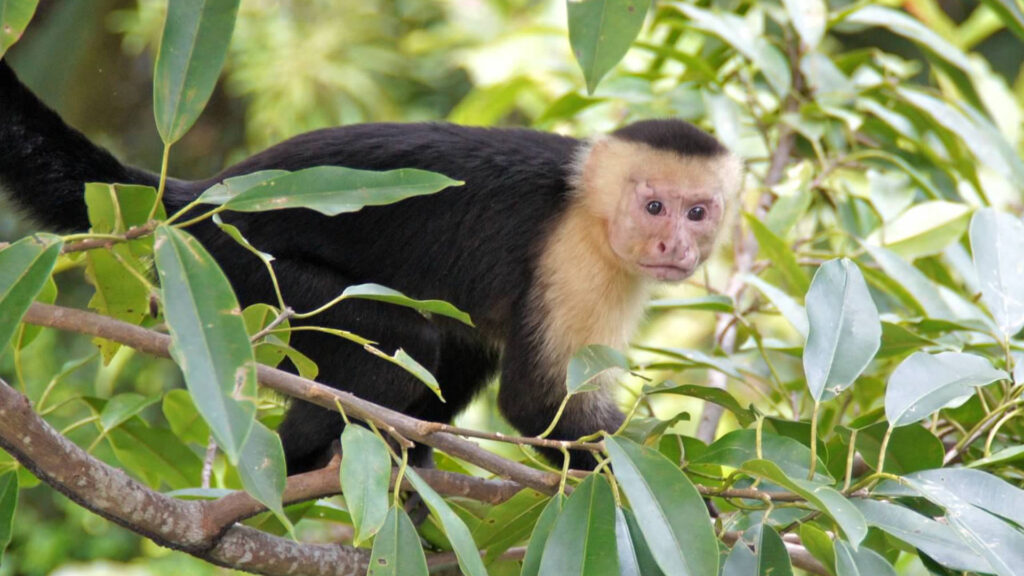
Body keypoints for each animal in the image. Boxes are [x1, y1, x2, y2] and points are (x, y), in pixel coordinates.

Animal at [0, 59, 741, 471]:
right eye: (653, 207)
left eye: (698, 213)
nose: (674, 247)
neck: (587, 206)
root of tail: (200, 196)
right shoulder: (578, 258)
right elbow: (538, 403)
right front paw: (695, 492)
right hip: (235, 265)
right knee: (398, 349)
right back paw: (293, 467)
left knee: (450, 348)